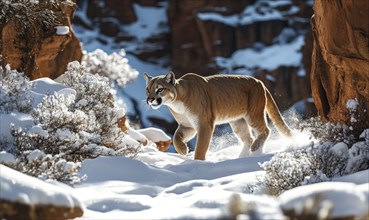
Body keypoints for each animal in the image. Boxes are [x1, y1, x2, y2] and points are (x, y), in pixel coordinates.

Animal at [144, 72, 290, 160]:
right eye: (147, 89)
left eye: (160, 89)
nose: (150, 100)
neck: (177, 102)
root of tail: (259, 81)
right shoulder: (187, 126)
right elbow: (175, 137)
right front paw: (183, 150)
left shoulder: (204, 124)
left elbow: (201, 146)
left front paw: (198, 162)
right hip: (238, 121)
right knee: (248, 138)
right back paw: (241, 157)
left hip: (253, 114)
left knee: (265, 130)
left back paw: (255, 148)